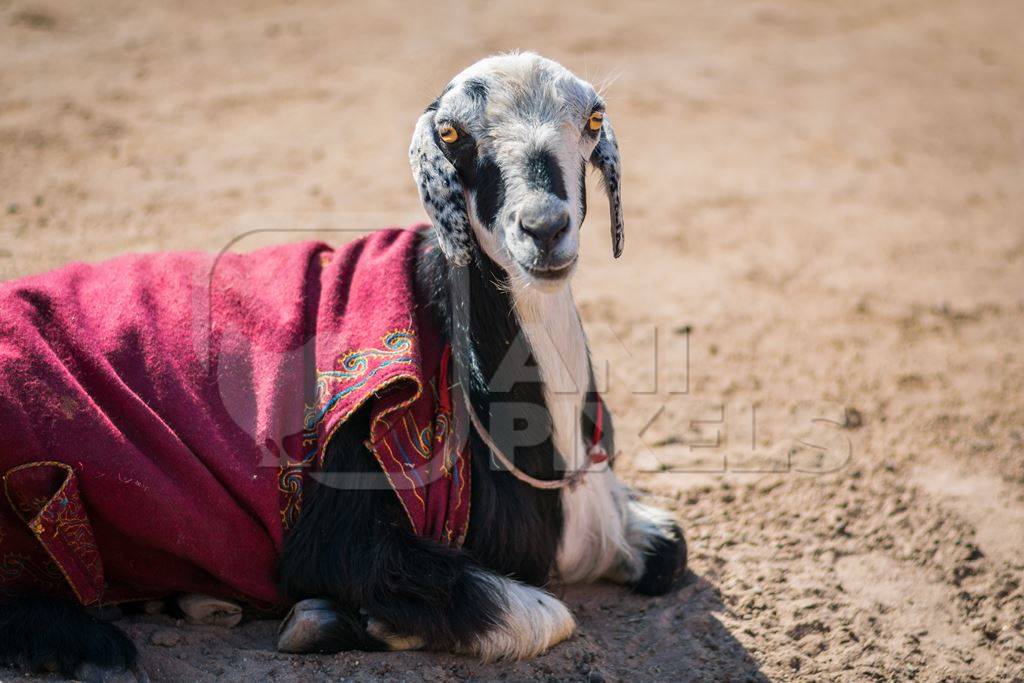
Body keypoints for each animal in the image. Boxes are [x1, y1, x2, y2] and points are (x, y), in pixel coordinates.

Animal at [2, 52, 688, 671]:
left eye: (593, 120)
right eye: (451, 134)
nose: (544, 228)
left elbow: (671, 551)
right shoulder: (334, 527)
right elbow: (541, 614)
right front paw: (346, 623)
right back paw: (96, 646)